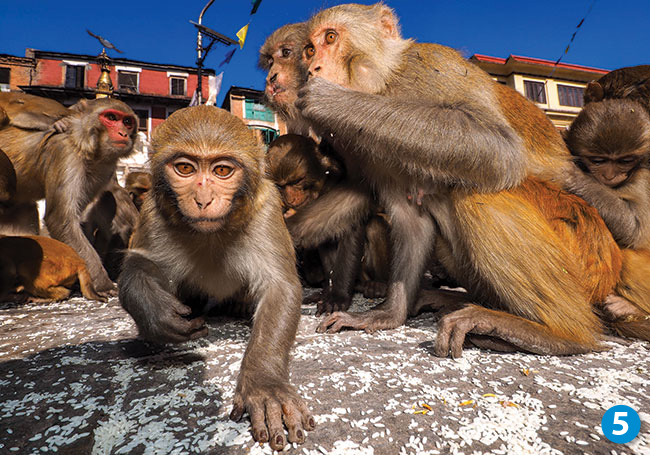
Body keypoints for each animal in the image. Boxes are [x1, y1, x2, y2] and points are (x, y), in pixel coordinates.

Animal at [120, 107, 316, 452]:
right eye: (185, 168)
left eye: (222, 170)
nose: (203, 199)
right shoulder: (154, 210)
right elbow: (137, 265)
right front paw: (155, 313)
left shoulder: (267, 207)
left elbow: (279, 287)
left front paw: (264, 384)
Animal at [294, 4, 624, 360]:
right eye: (309, 50)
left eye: (330, 38)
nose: (312, 68)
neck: (387, 82)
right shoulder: (370, 152)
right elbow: (411, 219)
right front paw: (387, 314)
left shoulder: (434, 67)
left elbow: (500, 147)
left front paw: (331, 101)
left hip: (581, 249)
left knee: (476, 196)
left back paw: (559, 333)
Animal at [560, 100, 648, 342]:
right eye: (599, 160)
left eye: (624, 160)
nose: (609, 176)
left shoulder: (644, 177)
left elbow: (635, 230)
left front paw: (576, 178)